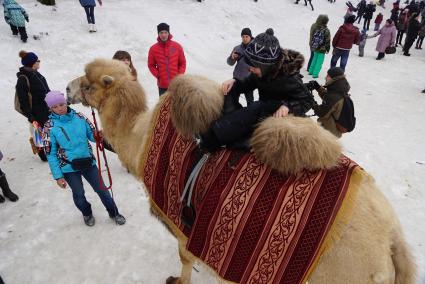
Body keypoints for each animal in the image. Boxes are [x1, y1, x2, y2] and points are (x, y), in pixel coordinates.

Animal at [65, 58, 414, 284]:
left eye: (89, 84)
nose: (67, 90)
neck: (140, 140)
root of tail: (392, 241)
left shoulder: (180, 217)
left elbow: (185, 259)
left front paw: (177, 280)